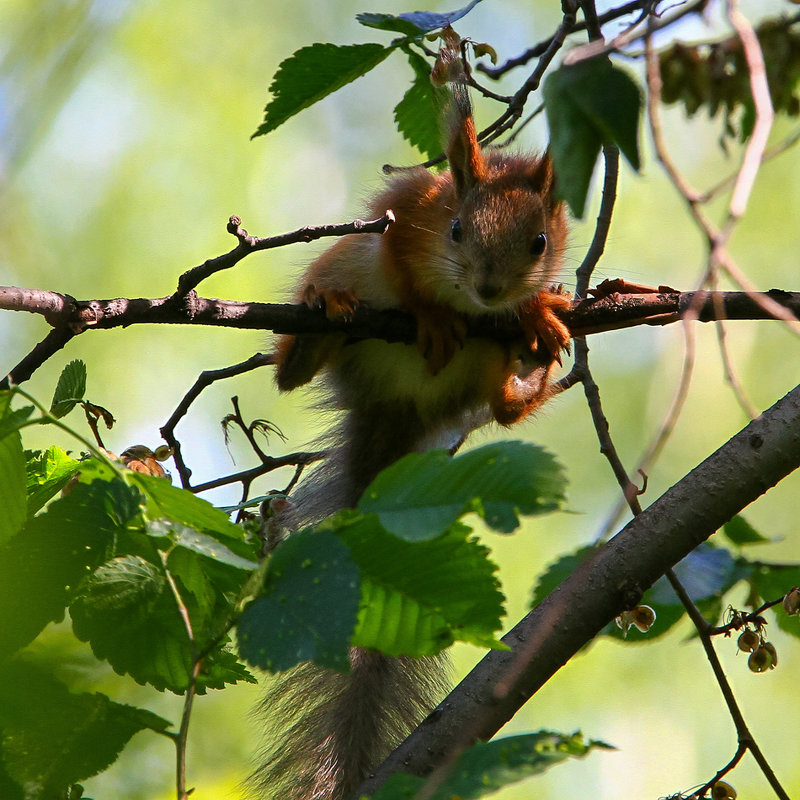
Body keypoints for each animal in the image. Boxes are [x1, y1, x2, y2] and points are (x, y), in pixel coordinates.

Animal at [253, 31, 572, 800]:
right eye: (454, 229)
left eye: (541, 243)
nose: (489, 289)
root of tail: (395, 410)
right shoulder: (402, 224)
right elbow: (405, 273)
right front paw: (430, 313)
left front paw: (541, 310)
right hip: (343, 260)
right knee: (291, 370)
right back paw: (324, 321)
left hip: (478, 371)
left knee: (501, 409)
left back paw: (533, 375)